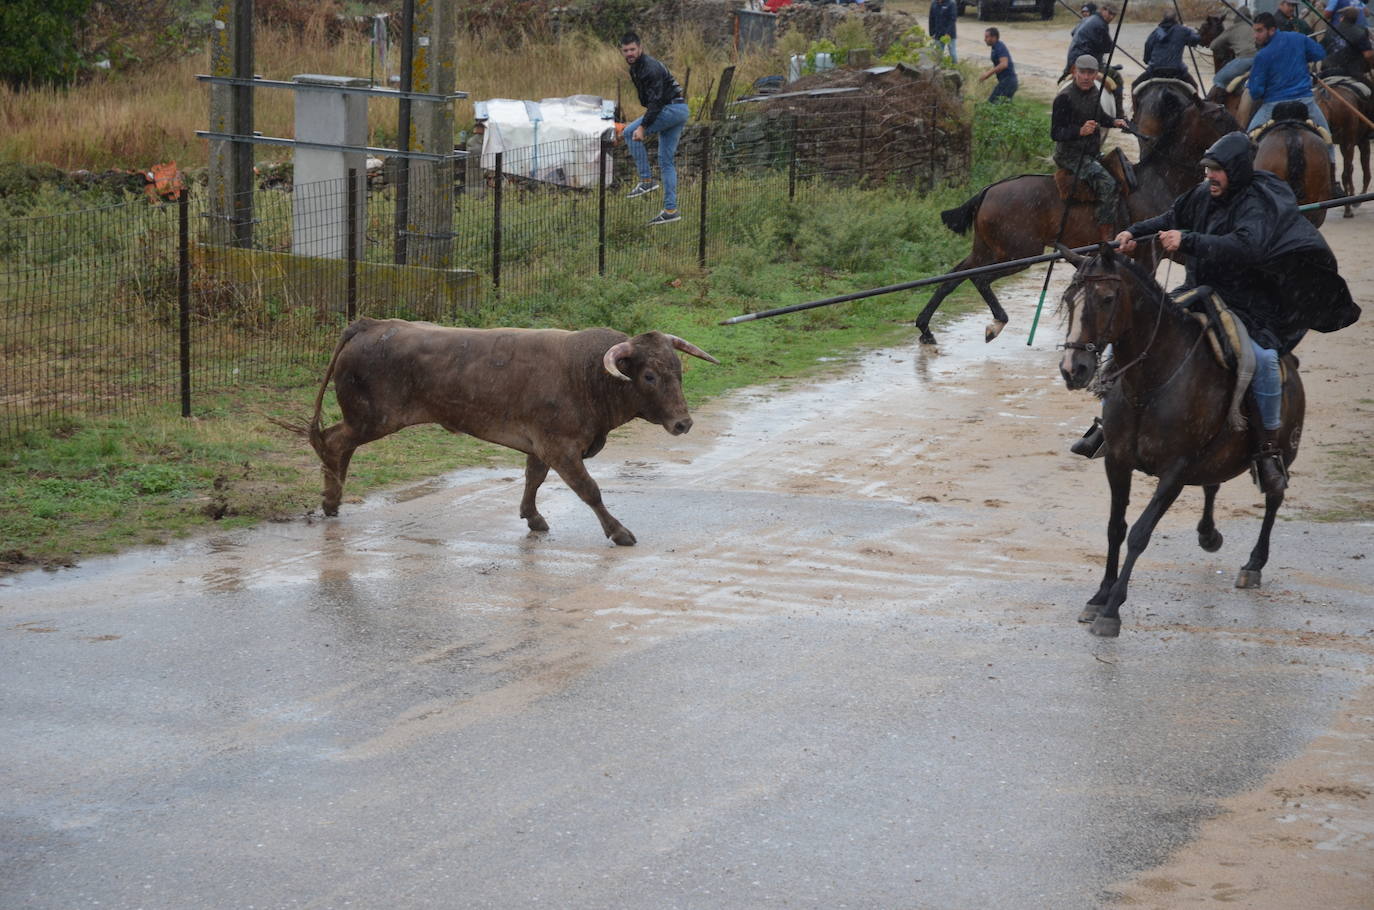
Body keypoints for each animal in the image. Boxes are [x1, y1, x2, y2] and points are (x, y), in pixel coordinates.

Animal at [298, 318, 719, 544]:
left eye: (678, 371)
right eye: (649, 376)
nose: (683, 423)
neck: (586, 374)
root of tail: (370, 325)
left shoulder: (541, 446)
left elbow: (533, 479)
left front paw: (532, 517)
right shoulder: (561, 448)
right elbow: (590, 491)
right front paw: (618, 532)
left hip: (367, 420)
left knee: (338, 443)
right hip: (373, 419)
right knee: (333, 442)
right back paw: (331, 499)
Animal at [923, 83, 1236, 347]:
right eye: (1219, 115)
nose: (1243, 136)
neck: (1161, 179)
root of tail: (988, 191)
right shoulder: (1149, 256)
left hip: (988, 250)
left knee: (954, 277)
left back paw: (925, 327)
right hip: (1018, 254)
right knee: (979, 280)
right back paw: (996, 323)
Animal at [1055, 246, 1302, 637]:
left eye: (1107, 298)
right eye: (1069, 300)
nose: (1072, 368)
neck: (1150, 384)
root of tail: (1290, 363)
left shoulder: (1174, 472)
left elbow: (1139, 533)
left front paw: (1111, 610)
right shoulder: (1117, 462)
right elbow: (1115, 529)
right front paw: (1099, 597)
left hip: (1285, 452)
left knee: (1274, 496)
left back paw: (1254, 564)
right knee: (1213, 484)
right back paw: (1209, 534)